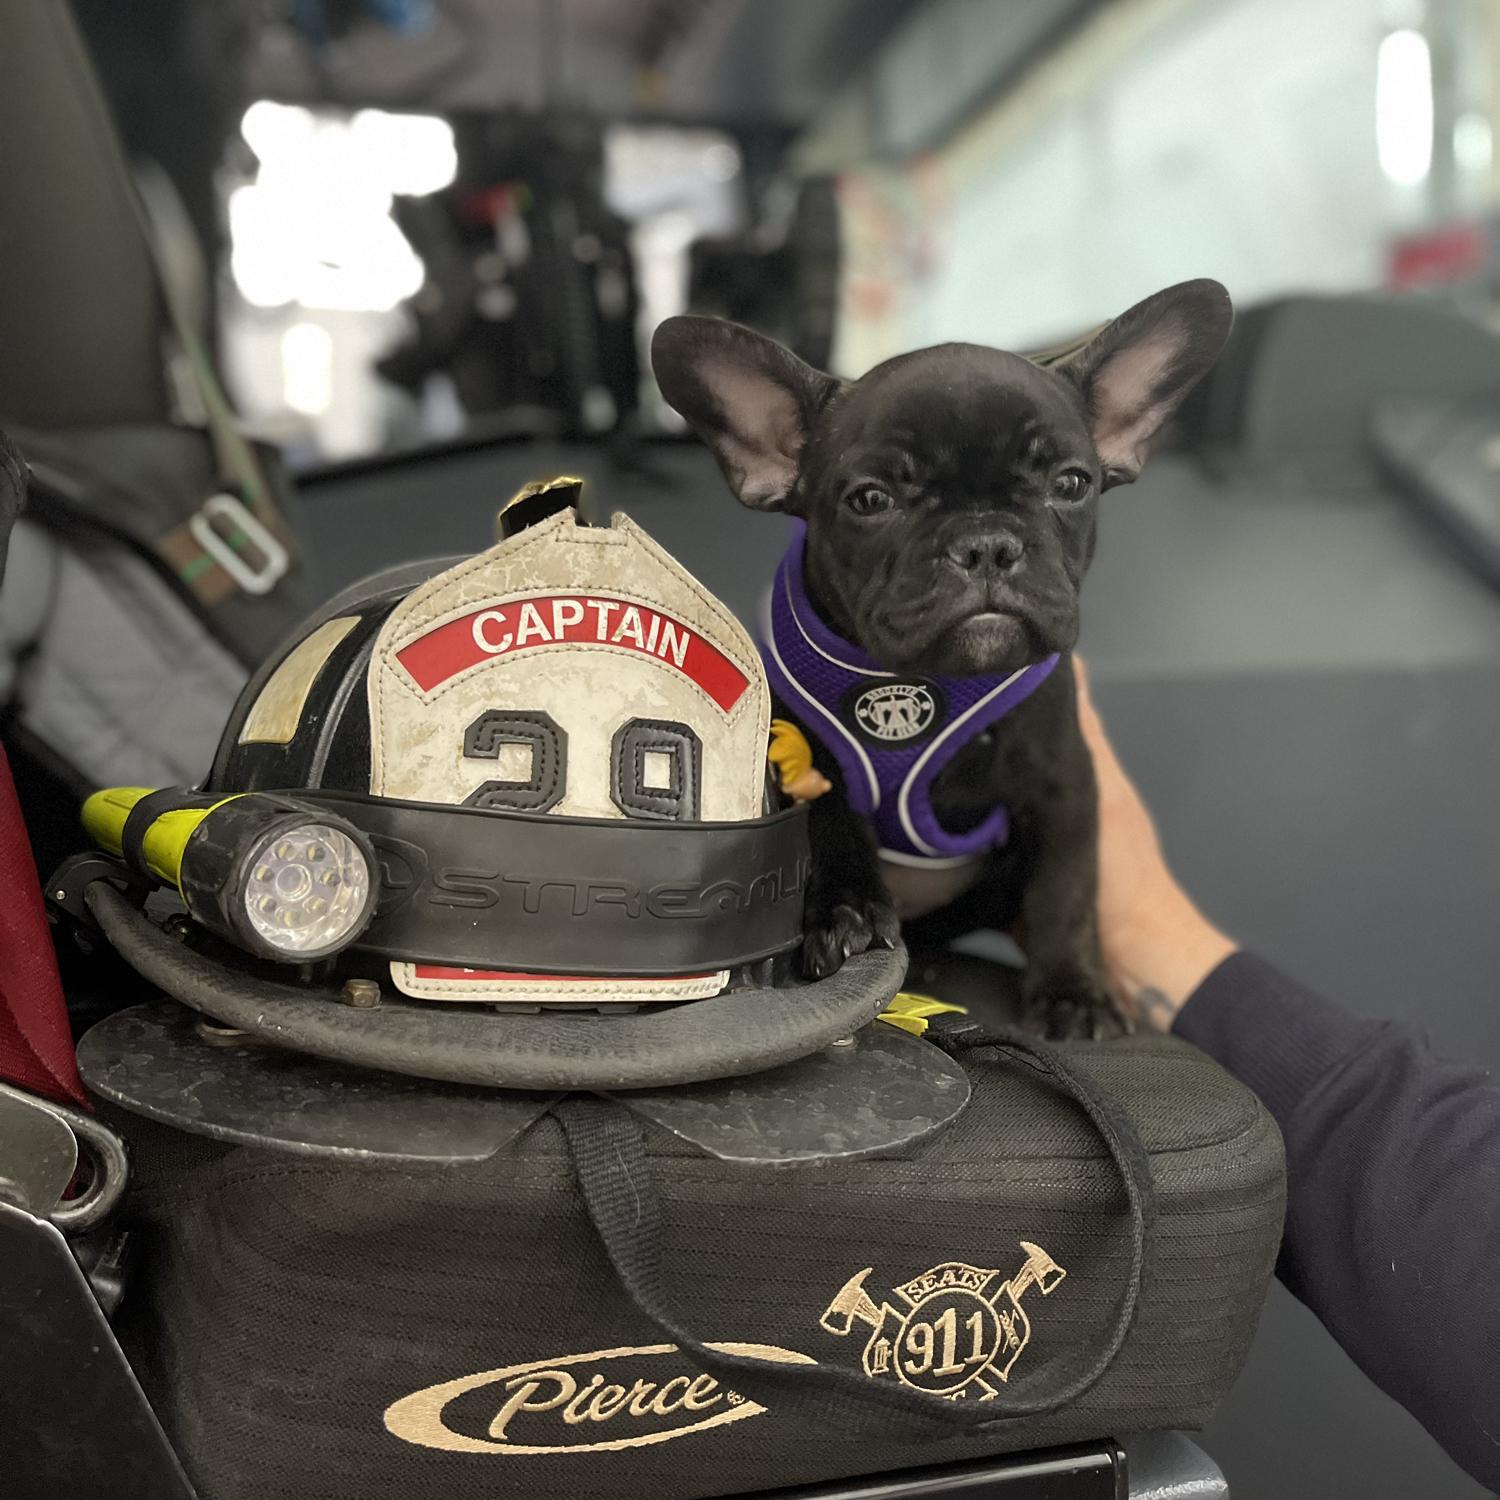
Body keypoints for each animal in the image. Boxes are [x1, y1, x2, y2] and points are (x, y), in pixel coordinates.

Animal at [654, 279, 1230, 1032]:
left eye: (1072, 485)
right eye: (871, 499)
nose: (985, 543)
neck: (931, 682)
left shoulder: (1064, 784)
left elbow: (1065, 886)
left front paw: (1074, 990)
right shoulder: (807, 763)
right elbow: (832, 832)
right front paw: (848, 915)